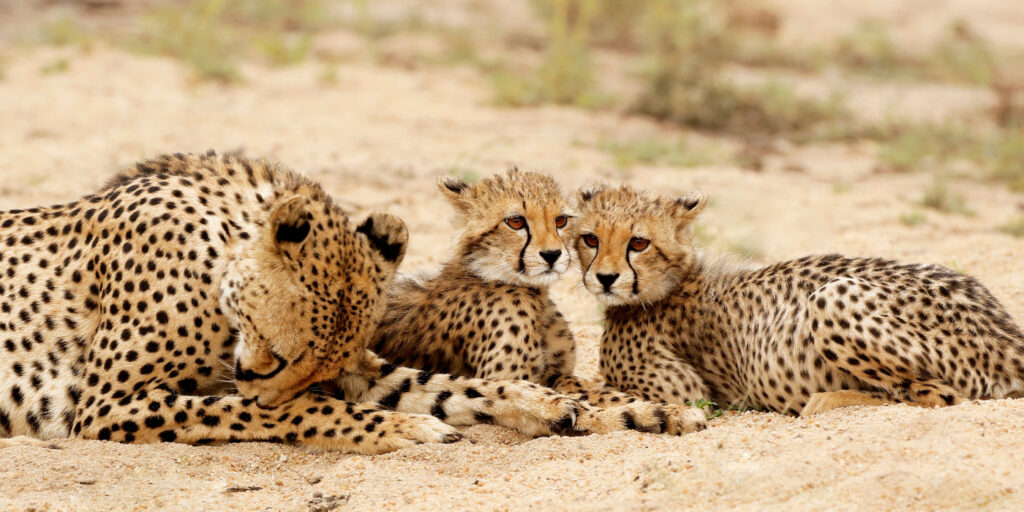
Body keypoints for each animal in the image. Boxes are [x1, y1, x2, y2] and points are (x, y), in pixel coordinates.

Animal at [0, 150, 589, 452]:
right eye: (281, 356)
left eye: (319, 366)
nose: (257, 385)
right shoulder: (104, 404)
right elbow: (290, 409)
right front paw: (405, 428)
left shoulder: (359, 368)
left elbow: (450, 386)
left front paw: (547, 403)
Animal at [372, 169, 708, 434]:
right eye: (515, 221)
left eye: (560, 220)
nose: (552, 254)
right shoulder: (505, 380)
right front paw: (661, 413)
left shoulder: (554, 373)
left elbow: (589, 389)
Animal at [573, 184, 1024, 415]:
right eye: (590, 239)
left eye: (639, 242)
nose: (606, 278)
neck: (671, 284)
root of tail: (1006, 331)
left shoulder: (684, 392)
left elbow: (587, 387)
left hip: (832, 295)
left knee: (940, 395)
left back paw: (825, 401)